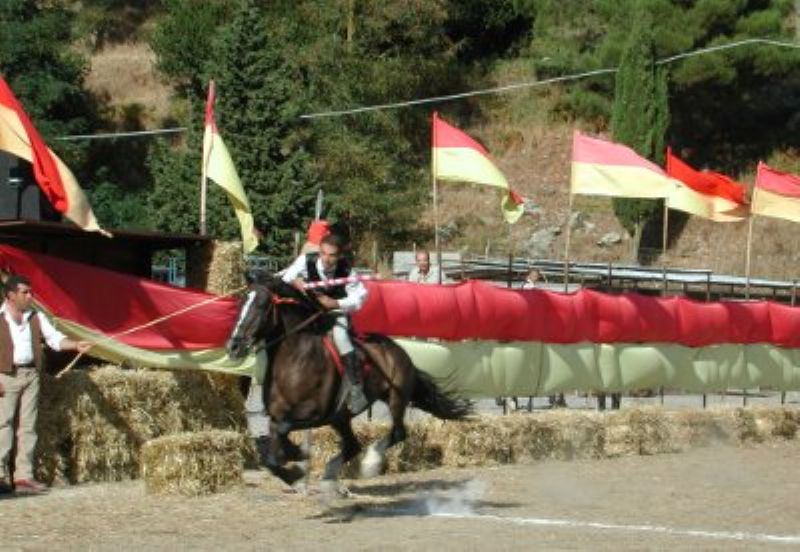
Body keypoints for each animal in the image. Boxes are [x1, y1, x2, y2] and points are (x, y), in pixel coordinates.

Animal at [225, 272, 472, 488]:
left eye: (261, 306)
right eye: (240, 304)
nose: (233, 346)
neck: (295, 358)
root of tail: (400, 350)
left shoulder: (314, 413)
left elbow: (281, 432)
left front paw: (295, 467)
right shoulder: (278, 414)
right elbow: (274, 446)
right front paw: (296, 460)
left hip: (395, 398)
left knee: (397, 433)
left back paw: (370, 463)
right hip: (341, 418)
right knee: (353, 446)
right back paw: (330, 476)